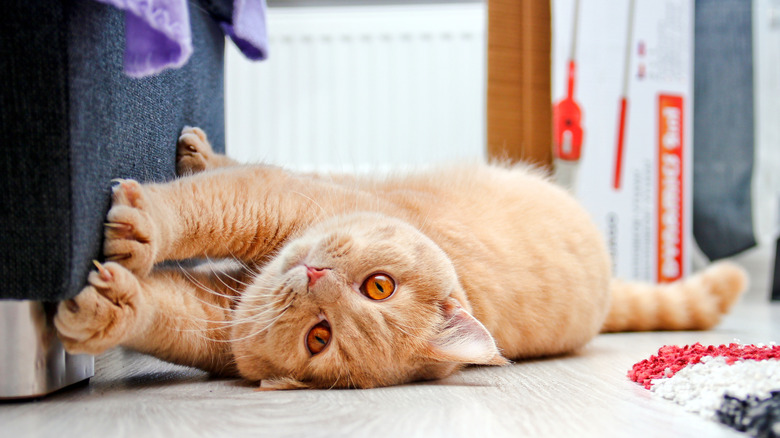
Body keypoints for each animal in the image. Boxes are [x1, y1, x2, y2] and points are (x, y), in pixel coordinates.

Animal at [54, 126, 748, 390]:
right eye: (380, 286)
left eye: (320, 337)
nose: (315, 274)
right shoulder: (274, 200)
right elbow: (211, 203)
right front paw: (148, 227)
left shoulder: (215, 322)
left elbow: (162, 307)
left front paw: (104, 304)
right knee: (238, 165)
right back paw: (201, 152)